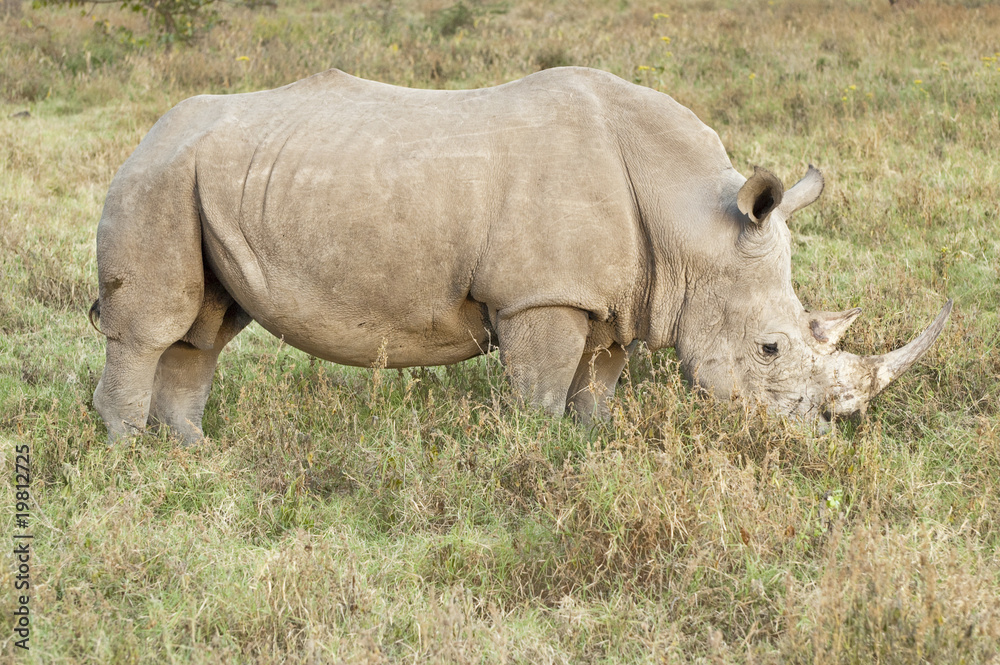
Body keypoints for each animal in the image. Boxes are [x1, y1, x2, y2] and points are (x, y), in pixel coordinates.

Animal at [89, 66, 952, 444]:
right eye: (771, 348)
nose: (818, 441)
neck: (691, 225)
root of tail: (149, 132)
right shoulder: (545, 295)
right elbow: (539, 392)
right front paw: (535, 458)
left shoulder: (614, 299)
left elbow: (595, 387)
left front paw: (588, 448)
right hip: (158, 180)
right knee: (154, 326)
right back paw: (131, 458)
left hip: (201, 178)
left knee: (203, 328)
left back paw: (195, 454)